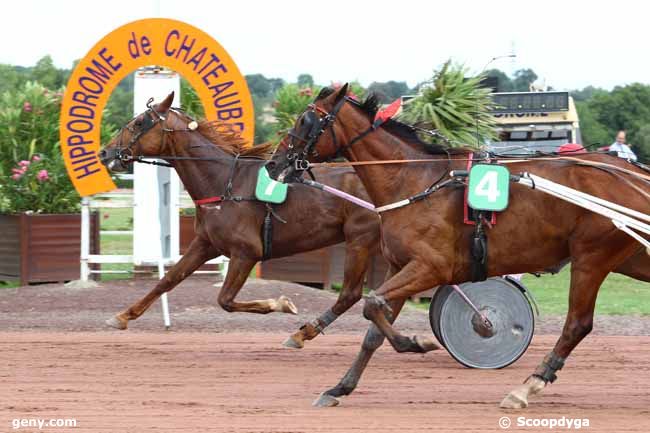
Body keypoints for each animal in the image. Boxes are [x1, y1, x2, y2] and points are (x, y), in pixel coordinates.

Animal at [97, 93, 380, 350]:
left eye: (139, 122)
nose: (104, 152)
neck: (223, 183)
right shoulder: (205, 244)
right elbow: (169, 279)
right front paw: (122, 316)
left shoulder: (246, 252)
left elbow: (225, 300)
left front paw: (281, 304)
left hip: (360, 240)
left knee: (350, 294)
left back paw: (303, 334)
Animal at [268, 85, 648, 408]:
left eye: (305, 120)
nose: (274, 163)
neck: (415, 182)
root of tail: (633, 175)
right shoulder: (401, 266)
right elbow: (373, 328)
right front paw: (339, 388)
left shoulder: (431, 266)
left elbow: (371, 303)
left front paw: (415, 343)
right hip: (630, 258)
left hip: (591, 256)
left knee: (577, 324)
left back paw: (527, 386)